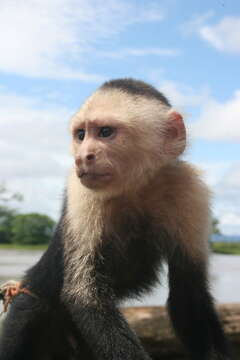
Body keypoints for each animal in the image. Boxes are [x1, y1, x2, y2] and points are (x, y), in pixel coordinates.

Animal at [0, 79, 232, 360]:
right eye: (81, 135)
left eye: (105, 132)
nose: (82, 156)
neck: (135, 187)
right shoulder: (80, 191)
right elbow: (84, 294)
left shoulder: (189, 189)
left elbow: (189, 293)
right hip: (32, 300)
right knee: (27, 315)